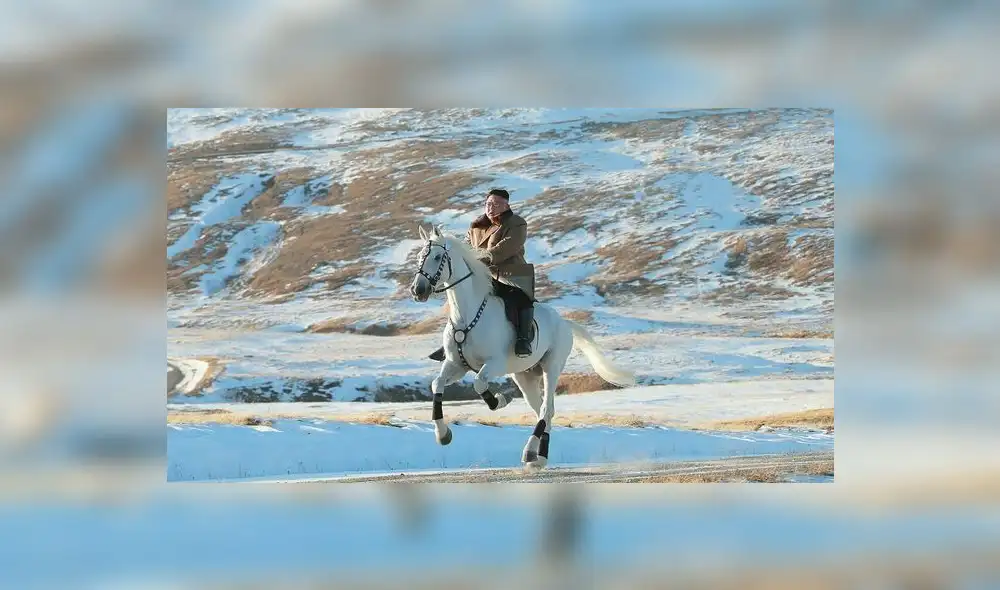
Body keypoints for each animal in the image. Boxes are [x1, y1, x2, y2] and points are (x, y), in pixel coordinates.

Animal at [408, 225, 636, 469]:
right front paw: (443, 435)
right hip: (524, 376)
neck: (467, 316)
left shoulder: (495, 364)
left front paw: (500, 400)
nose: (418, 290)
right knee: (543, 411)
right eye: (420, 257)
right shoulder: (456, 364)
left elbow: (479, 383)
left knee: (546, 409)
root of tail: (565, 322)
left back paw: (530, 452)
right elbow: (437, 384)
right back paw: (539, 457)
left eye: (437, 257)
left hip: (551, 367)